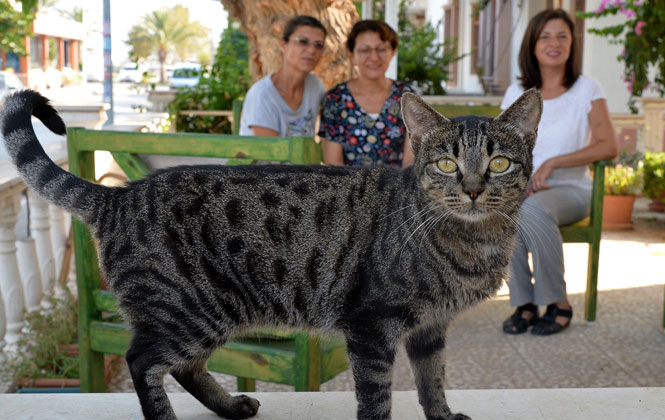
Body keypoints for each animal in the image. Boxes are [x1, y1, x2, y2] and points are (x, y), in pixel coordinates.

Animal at [1, 87, 540, 418]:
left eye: (499, 162)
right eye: (447, 164)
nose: (473, 189)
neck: (471, 241)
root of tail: (119, 195)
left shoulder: (431, 327)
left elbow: (433, 380)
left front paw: (443, 415)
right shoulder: (372, 325)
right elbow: (377, 399)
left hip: (209, 315)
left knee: (185, 367)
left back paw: (229, 406)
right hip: (187, 311)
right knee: (142, 360)